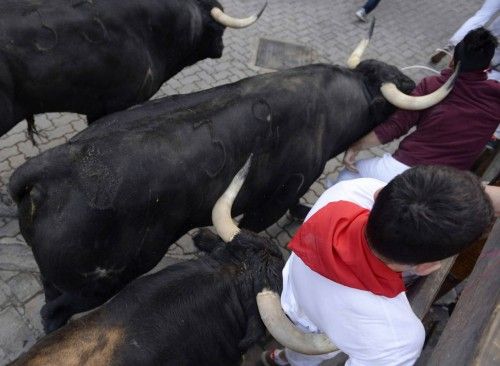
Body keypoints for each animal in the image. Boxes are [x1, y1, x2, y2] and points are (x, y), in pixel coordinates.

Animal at [8, 62, 414, 332]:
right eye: (395, 88)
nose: (413, 81)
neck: (335, 102)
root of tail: (50, 165)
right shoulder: (280, 192)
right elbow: (259, 220)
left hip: (60, 278)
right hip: (100, 280)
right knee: (53, 312)